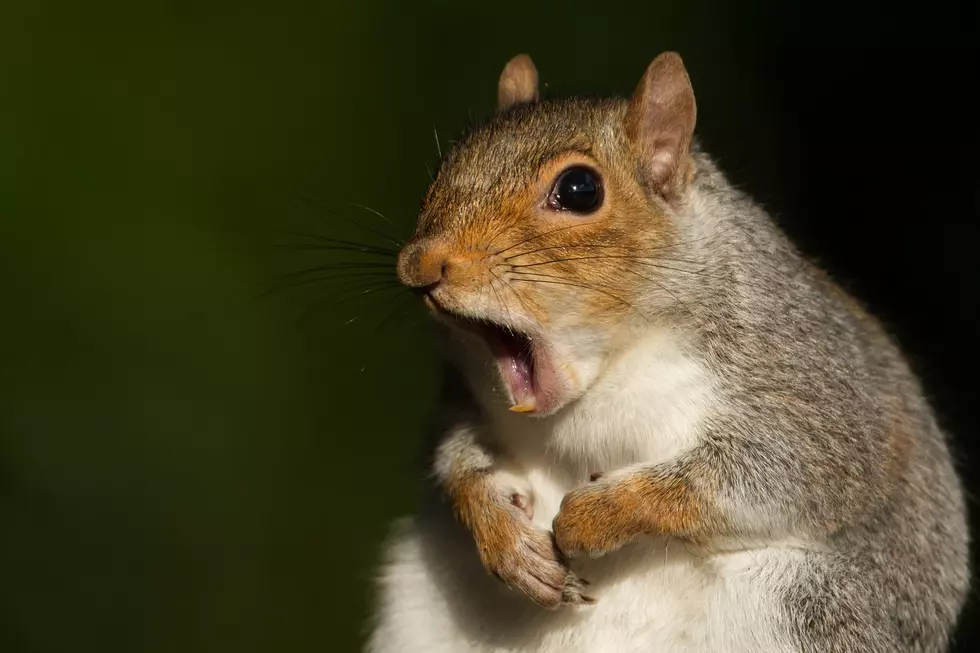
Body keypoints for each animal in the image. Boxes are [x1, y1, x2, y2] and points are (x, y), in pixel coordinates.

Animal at [366, 52, 972, 652]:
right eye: (444, 167)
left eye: (580, 189)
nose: (419, 264)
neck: (605, 374)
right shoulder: (466, 395)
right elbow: (458, 456)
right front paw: (504, 537)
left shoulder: (807, 382)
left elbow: (776, 473)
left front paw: (596, 515)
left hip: (804, 608)